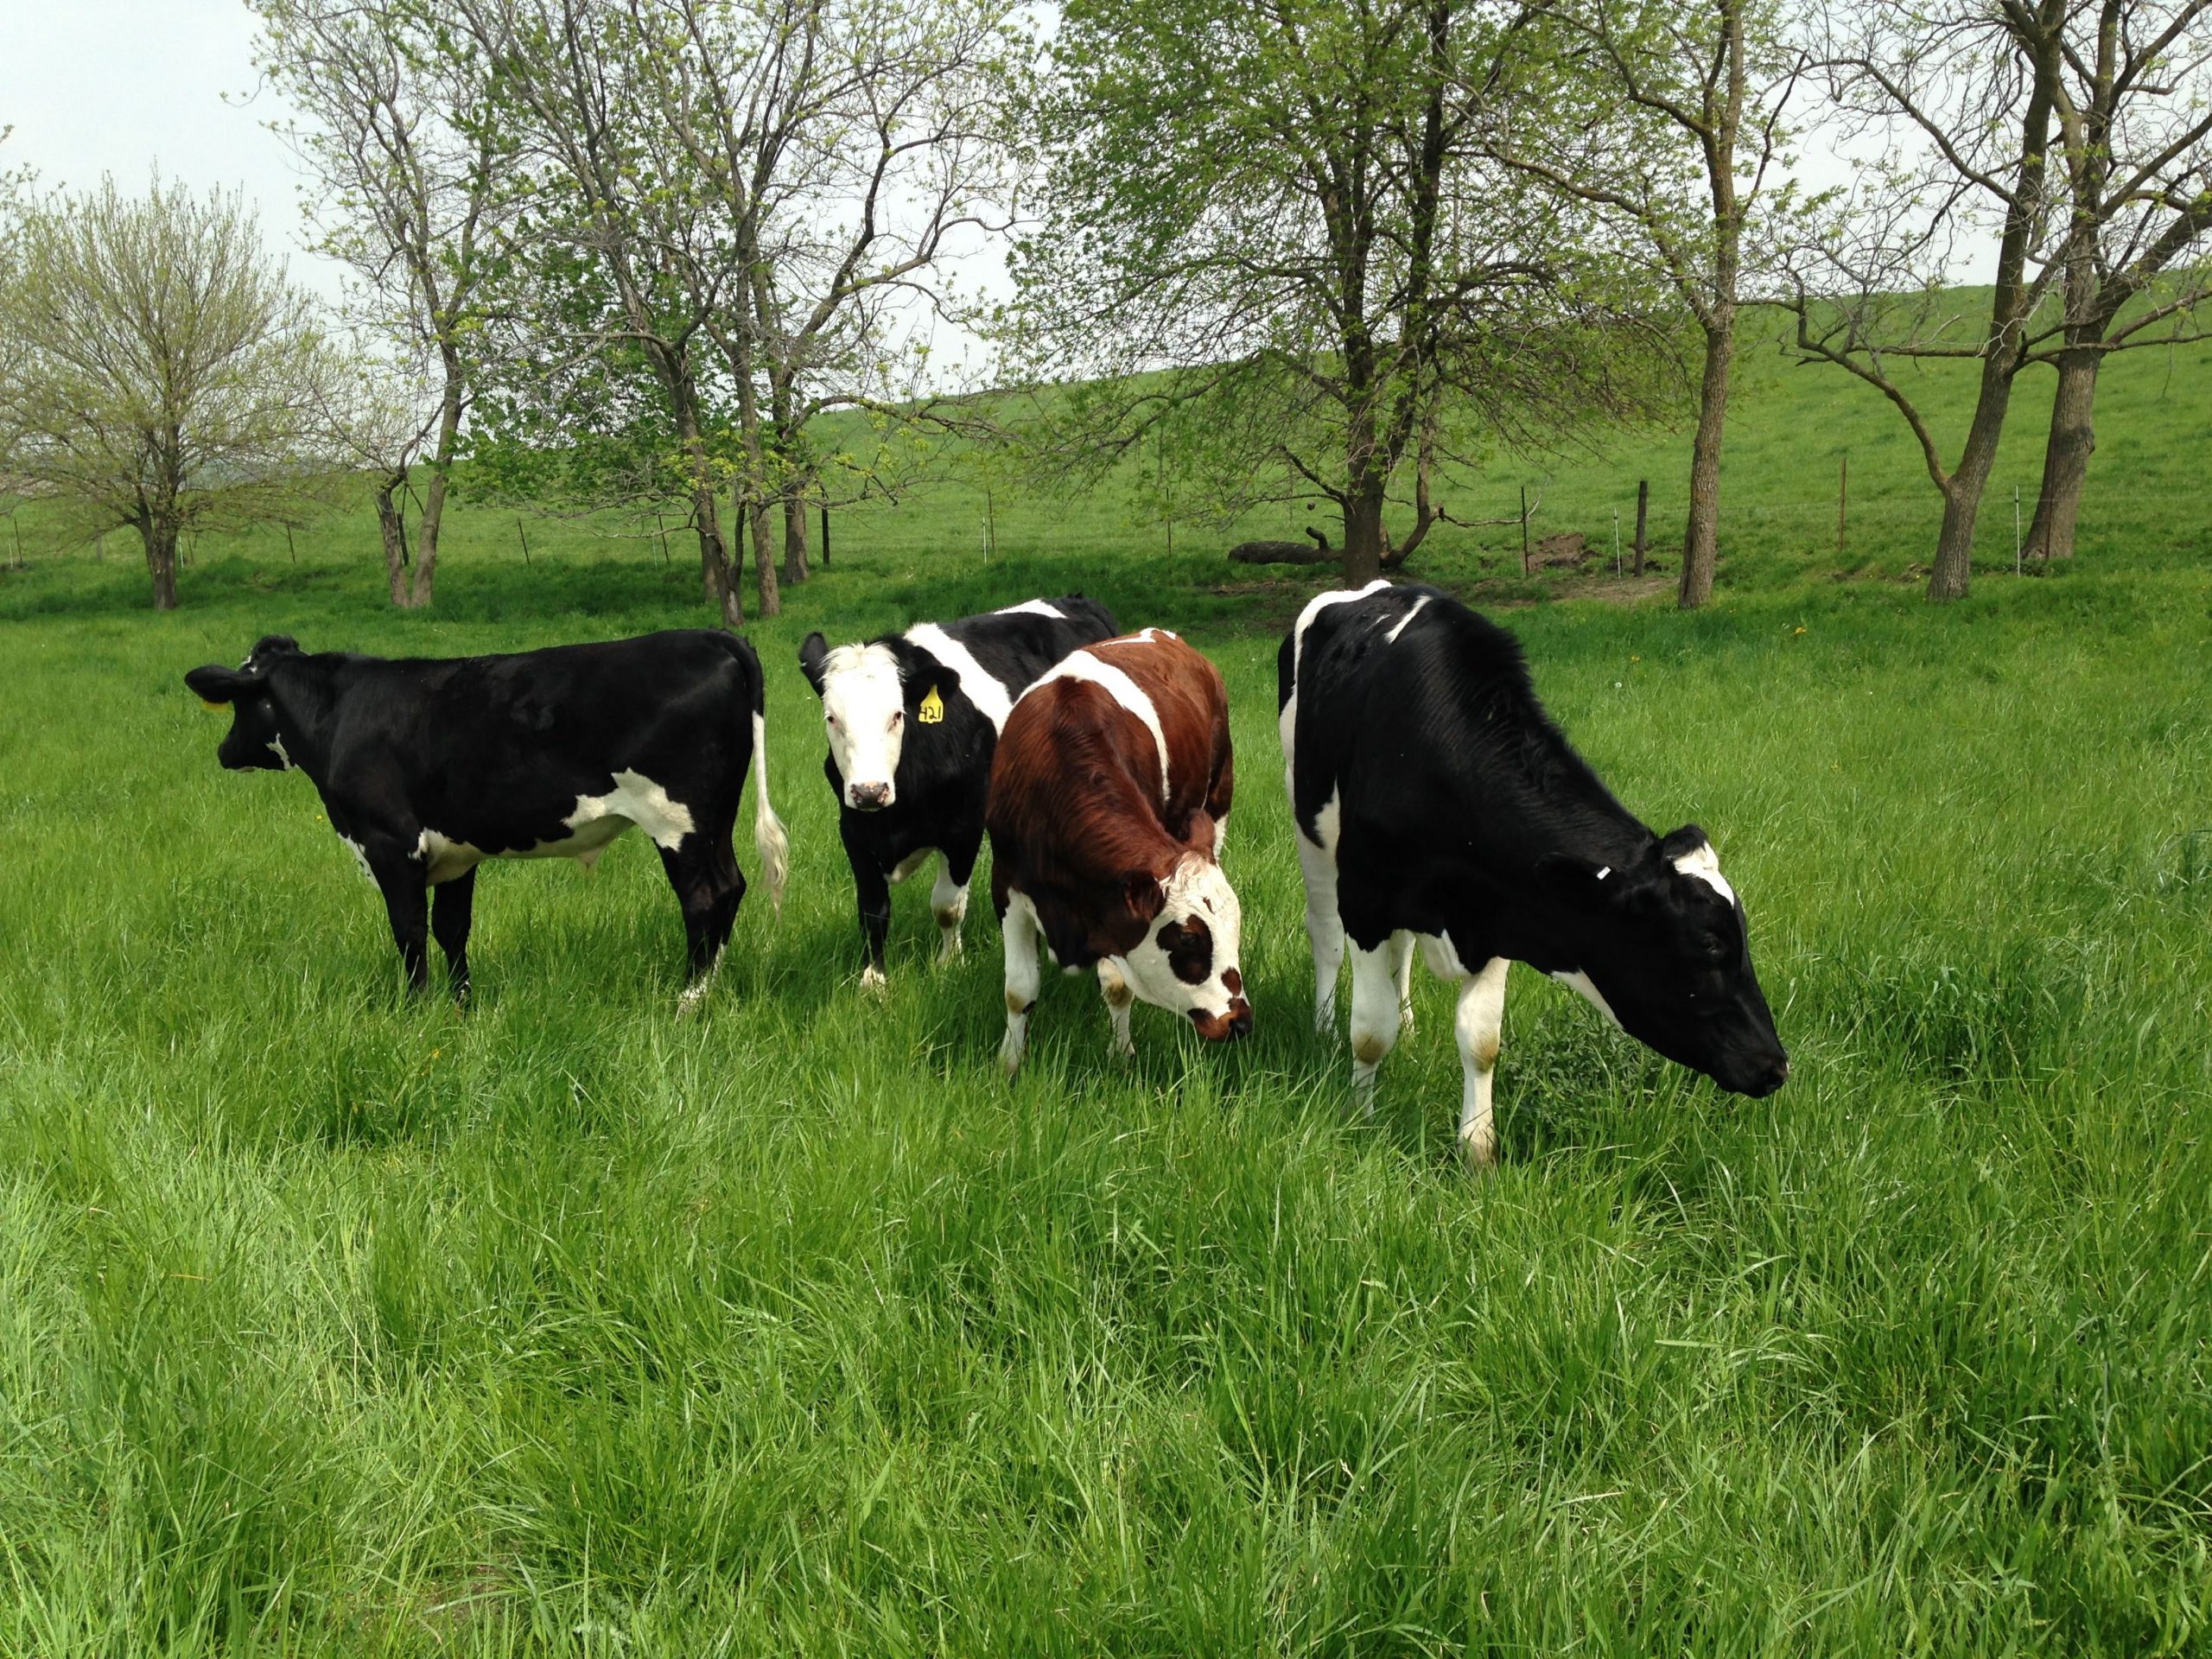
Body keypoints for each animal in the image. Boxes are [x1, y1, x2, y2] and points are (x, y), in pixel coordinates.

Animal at [183, 628, 787, 1008]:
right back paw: (711, 986)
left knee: (705, 896)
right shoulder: (455, 853)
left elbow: (409, 931)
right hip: (715, 819)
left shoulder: (388, 845)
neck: (341, 716)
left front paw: (414, 1009)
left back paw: (687, 997)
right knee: (732, 886)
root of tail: (712, 636)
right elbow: (452, 929)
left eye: (239, 703)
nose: (223, 751)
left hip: (677, 820)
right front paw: (460, 1006)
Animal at [800, 597, 1123, 986]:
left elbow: (947, 906)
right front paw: (874, 981)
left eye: (897, 715)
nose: (869, 790)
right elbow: (872, 911)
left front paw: (949, 963)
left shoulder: (964, 828)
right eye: (832, 719)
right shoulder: (854, 830)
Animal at [995, 628, 1256, 1079]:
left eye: (1235, 928)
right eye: (1189, 937)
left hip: (1218, 803)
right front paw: (1009, 1063)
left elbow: (1117, 987)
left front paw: (1120, 1053)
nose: (1239, 1021)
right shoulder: (1007, 883)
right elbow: (1018, 990)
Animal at [1282, 583, 1778, 1167]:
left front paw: (1478, 1150)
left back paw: (1408, 1022)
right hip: (1310, 828)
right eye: (1708, 944)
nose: (1776, 1065)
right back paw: (1322, 1026)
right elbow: (1368, 1031)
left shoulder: (1501, 910)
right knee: (1325, 937)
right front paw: (1361, 1117)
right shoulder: (1366, 898)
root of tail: (1371, 588)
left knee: (1401, 953)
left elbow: (1481, 1039)